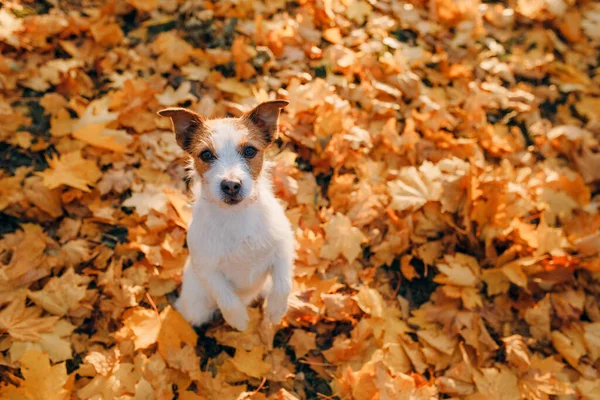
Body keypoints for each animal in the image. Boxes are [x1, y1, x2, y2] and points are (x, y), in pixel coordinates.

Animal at [157, 101, 292, 332]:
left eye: (250, 150)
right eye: (206, 155)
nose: (230, 185)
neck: (236, 216)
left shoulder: (283, 247)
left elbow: (284, 284)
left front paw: (275, 312)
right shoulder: (208, 270)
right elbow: (227, 298)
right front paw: (238, 320)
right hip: (196, 306)